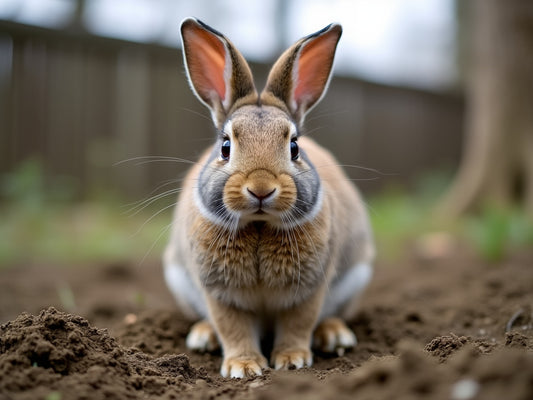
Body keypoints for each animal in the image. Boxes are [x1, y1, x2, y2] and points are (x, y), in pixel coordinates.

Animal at [163, 16, 374, 378]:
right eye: (225, 146)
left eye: (294, 147)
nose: (261, 188)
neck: (259, 225)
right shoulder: (220, 294)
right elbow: (232, 327)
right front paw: (244, 367)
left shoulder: (309, 290)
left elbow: (298, 323)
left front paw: (292, 360)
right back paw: (203, 337)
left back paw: (334, 335)